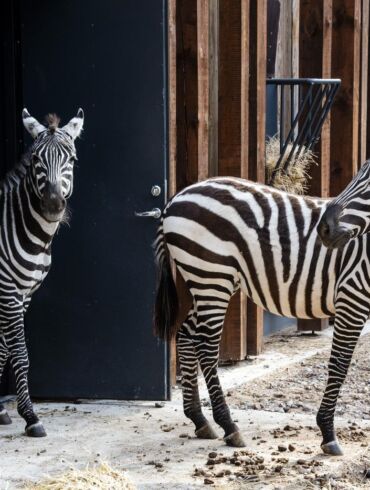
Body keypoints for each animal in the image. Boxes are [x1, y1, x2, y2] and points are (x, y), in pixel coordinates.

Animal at [0, 109, 83, 438]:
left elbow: (4, 348)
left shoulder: (24, 294)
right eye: (36, 159)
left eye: (71, 159)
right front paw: (31, 416)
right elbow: (20, 353)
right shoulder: (8, 290)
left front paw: (2, 411)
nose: (53, 204)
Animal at [155, 163, 370, 458]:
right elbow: (339, 364)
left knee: (187, 335)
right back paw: (229, 426)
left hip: (208, 280)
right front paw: (327, 432)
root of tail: (176, 197)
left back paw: (200, 420)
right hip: (212, 274)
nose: (324, 229)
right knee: (206, 346)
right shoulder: (351, 296)